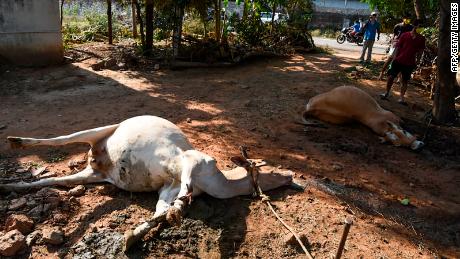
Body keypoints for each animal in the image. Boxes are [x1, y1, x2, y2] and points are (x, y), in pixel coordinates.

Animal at [2, 116, 292, 250]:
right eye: (270, 169)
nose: (291, 176)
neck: (218, 182)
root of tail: (96, 159)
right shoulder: (193, 160)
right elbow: (183, 189)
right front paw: (179, 210)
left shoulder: (167, 188)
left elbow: (161, 211)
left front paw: (132, 237)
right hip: (99, 131)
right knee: (63, 138)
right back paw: (16, 141)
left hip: (93, 175)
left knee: (53, 179)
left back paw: (9, 186)